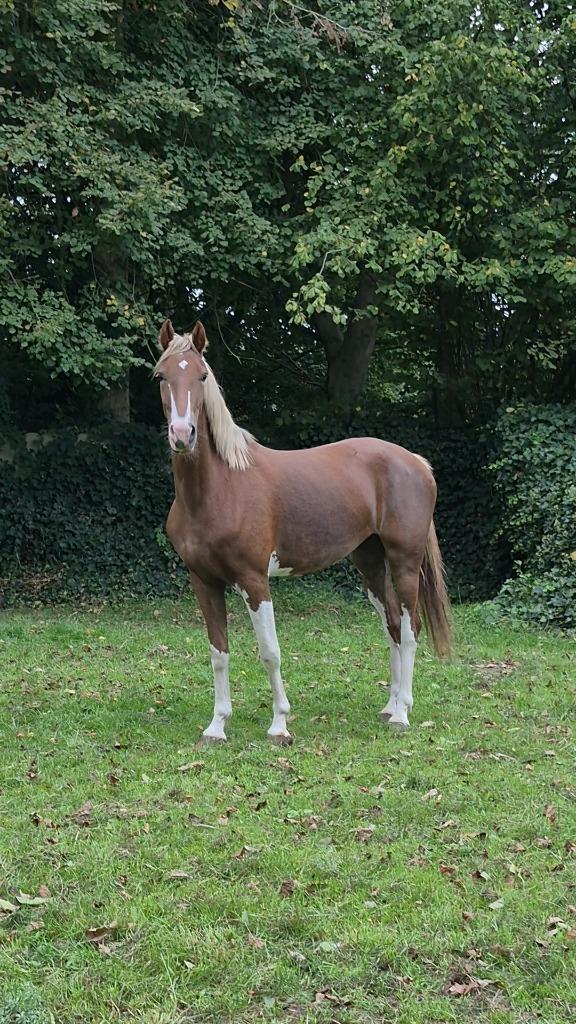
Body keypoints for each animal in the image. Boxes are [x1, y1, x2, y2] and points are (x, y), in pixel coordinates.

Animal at [154, 319, 451, 745]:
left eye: (202, 375)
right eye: (161, 376)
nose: (183, 435)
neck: (219, 489)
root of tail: (415, 461)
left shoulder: (254, 580)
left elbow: (270, 652)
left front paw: (279, 725)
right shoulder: (204, 581)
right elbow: (218, 653)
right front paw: (217, 726)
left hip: (405, 561)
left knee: (410, 629)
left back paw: (402, 715)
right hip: (371, 562)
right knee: (393, 623)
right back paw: (390, 705)